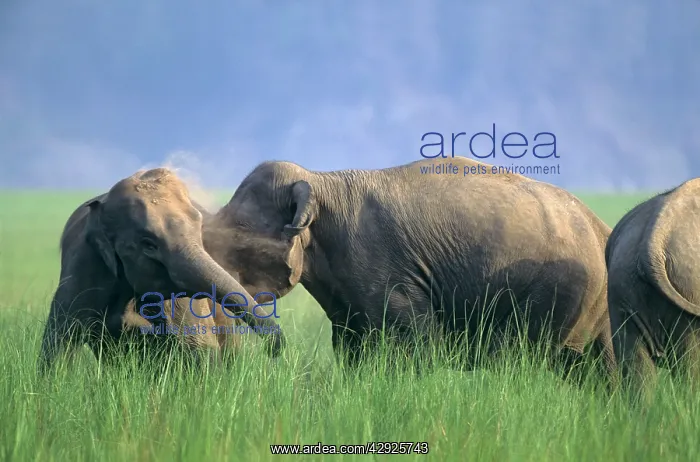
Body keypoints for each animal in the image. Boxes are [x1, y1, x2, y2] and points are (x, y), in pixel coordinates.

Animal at [38, 167, 285, 374]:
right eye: (148, 244)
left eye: (200, 230)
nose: (275, 351)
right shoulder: (83, 269)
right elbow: (57, 349)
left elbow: (201, 351)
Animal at [213, 156, 617, 378]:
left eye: (238, 239)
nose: (275, 352)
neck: (320, 181)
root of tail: (600, 228)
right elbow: (351, 348)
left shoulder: (389, 273)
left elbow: (412, 349)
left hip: (557, 291)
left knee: (523, 358)